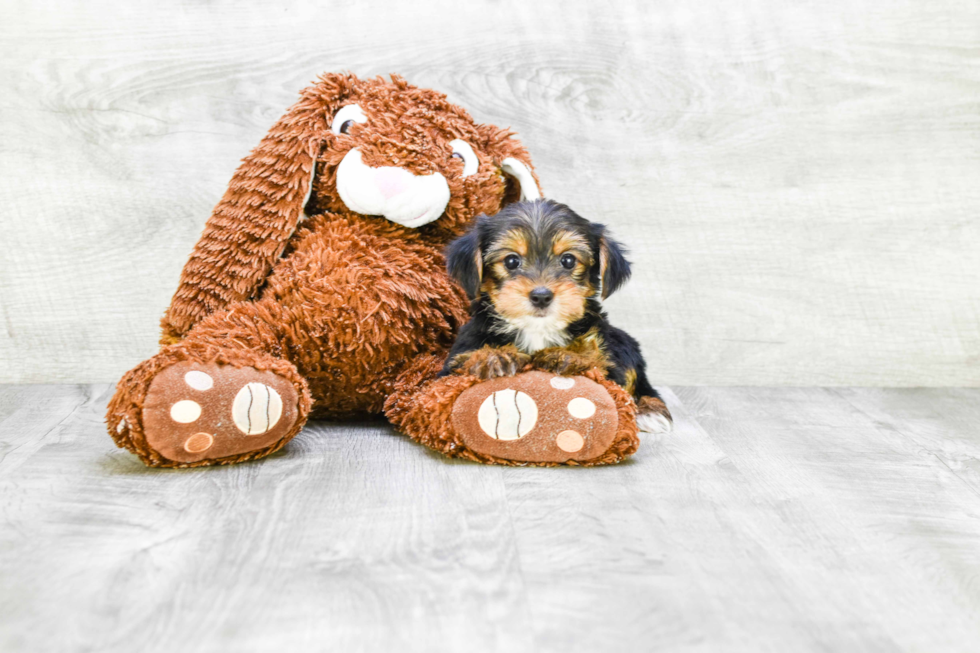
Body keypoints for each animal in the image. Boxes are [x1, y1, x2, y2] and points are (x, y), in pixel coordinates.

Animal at [444, 199, 672, 432]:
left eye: (568, 260)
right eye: (511, 261)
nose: (541, 296)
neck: (538, 330)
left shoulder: (607, 356)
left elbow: (598, 361)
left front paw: (568, 356)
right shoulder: (453, 360)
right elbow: (463, 361)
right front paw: (493, 356)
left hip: (623, 342)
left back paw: (650, 409)